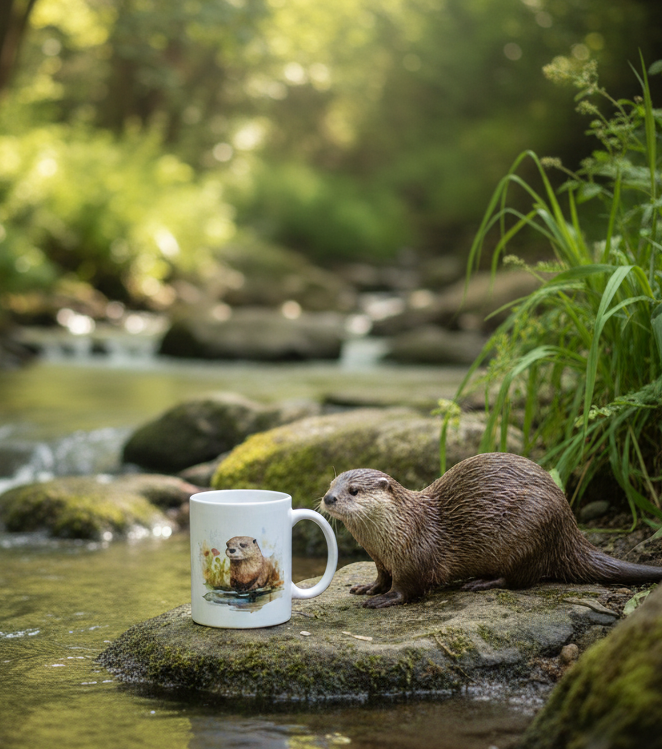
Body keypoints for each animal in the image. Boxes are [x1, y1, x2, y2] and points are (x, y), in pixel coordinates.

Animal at [321, 454, 662, 608]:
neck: (403, 529)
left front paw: (386, 599)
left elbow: (410, 587)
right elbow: (382, 577)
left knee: (520, 579)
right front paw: (369, 588)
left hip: (531, 529)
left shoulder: (416, 557)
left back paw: (480, 582)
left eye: (353, 490)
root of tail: (569, 527)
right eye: (331, 484)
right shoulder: (381, 559)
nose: (328, 498)